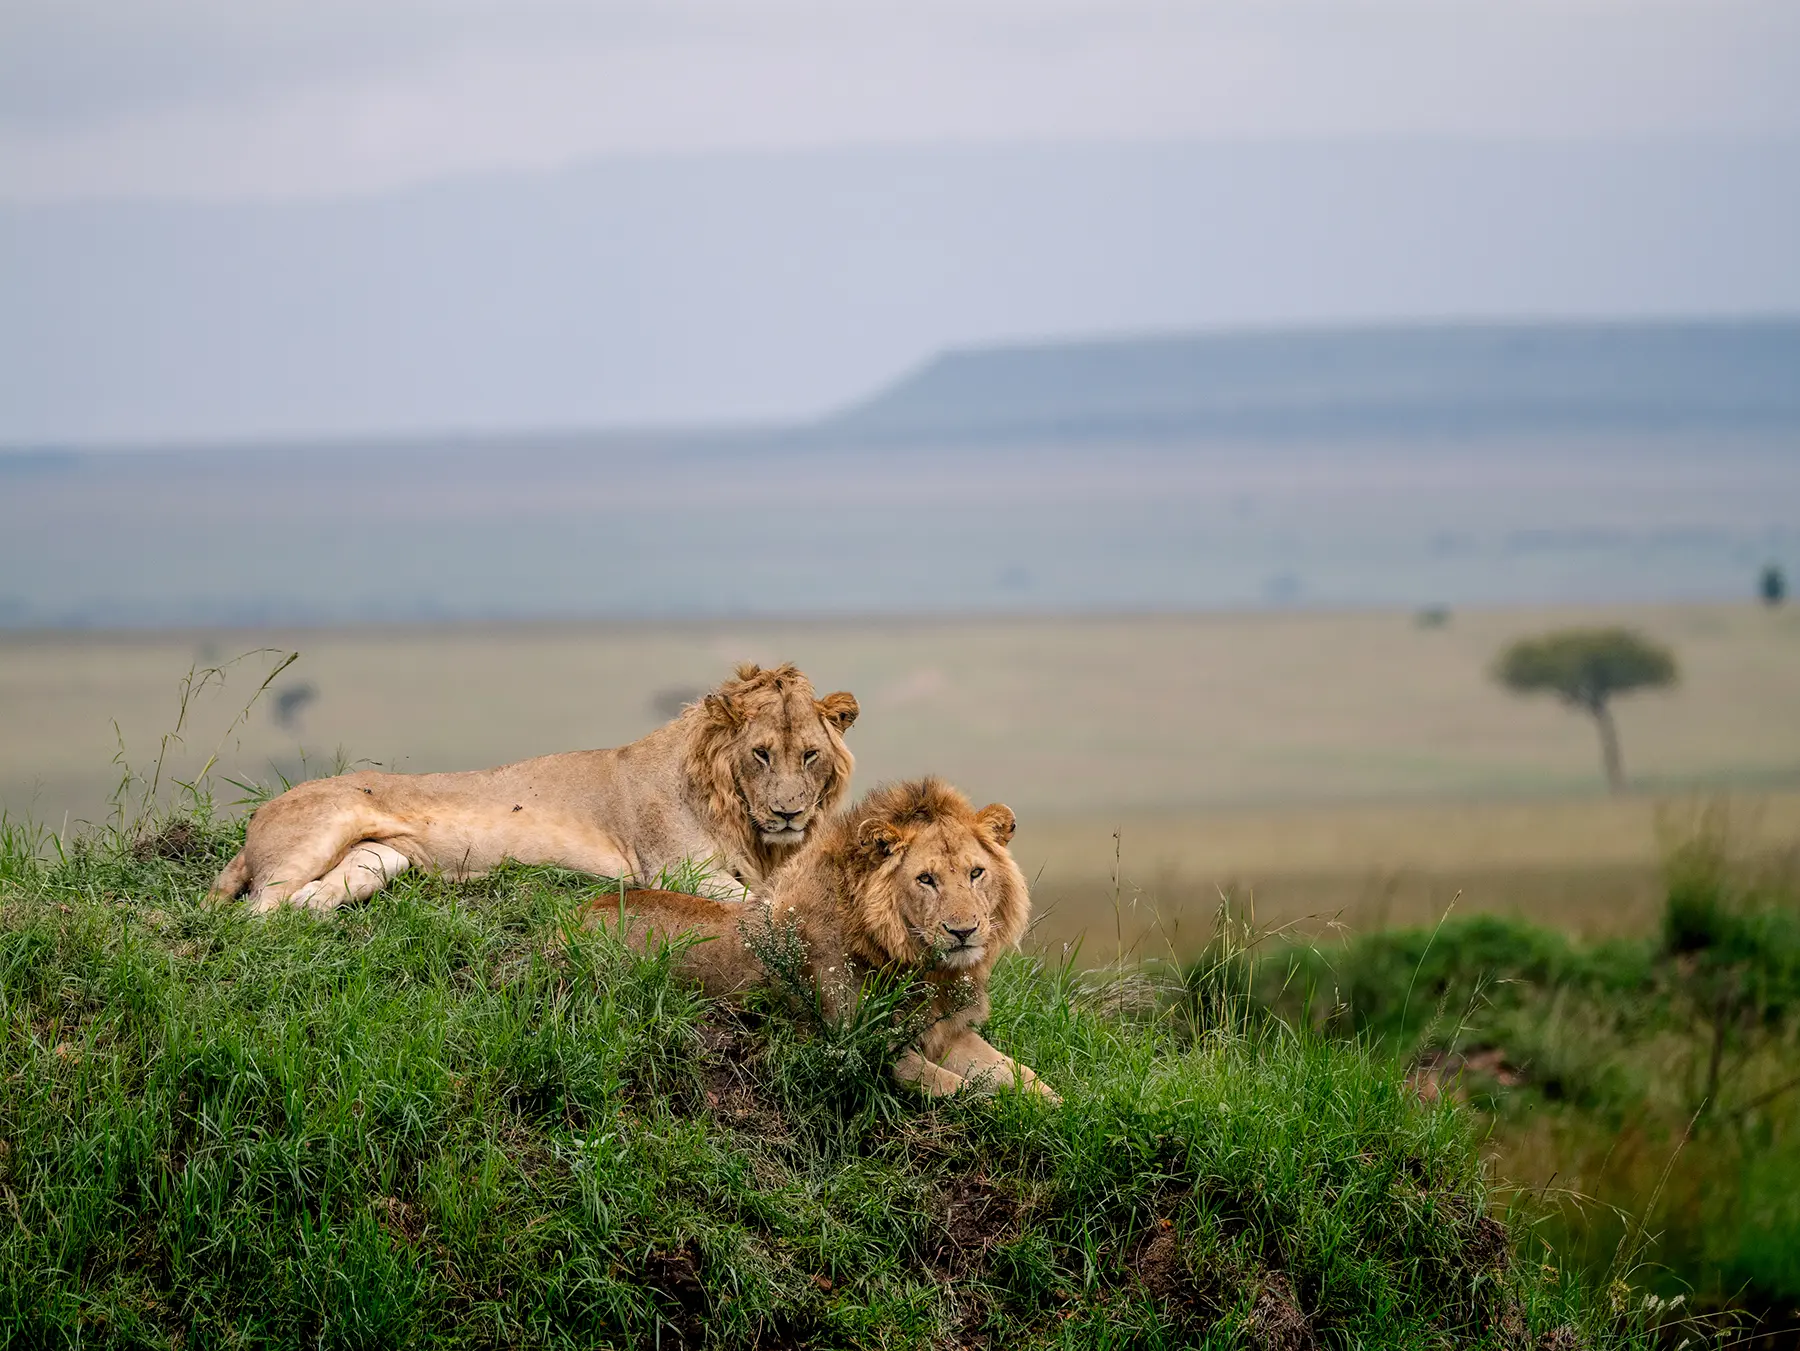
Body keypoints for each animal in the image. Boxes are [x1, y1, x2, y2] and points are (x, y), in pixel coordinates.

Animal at [210, 663, 858, 913]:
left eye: (810, 755)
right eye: (760, 754)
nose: (789, 814)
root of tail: (257, 821)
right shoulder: (678, 871)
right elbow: (766, 904)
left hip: (377, 861)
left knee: (305, 902)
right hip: (320, 830)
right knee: (254, 913)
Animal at [589, 777, 1057, 1102]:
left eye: (977, 873)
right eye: (926, 879)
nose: (963, 931)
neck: (922, 969)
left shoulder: (948, 1033)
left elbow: (1025, 1076)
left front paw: (1055, 1108)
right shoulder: (866, 1051)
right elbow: (963, 1090)